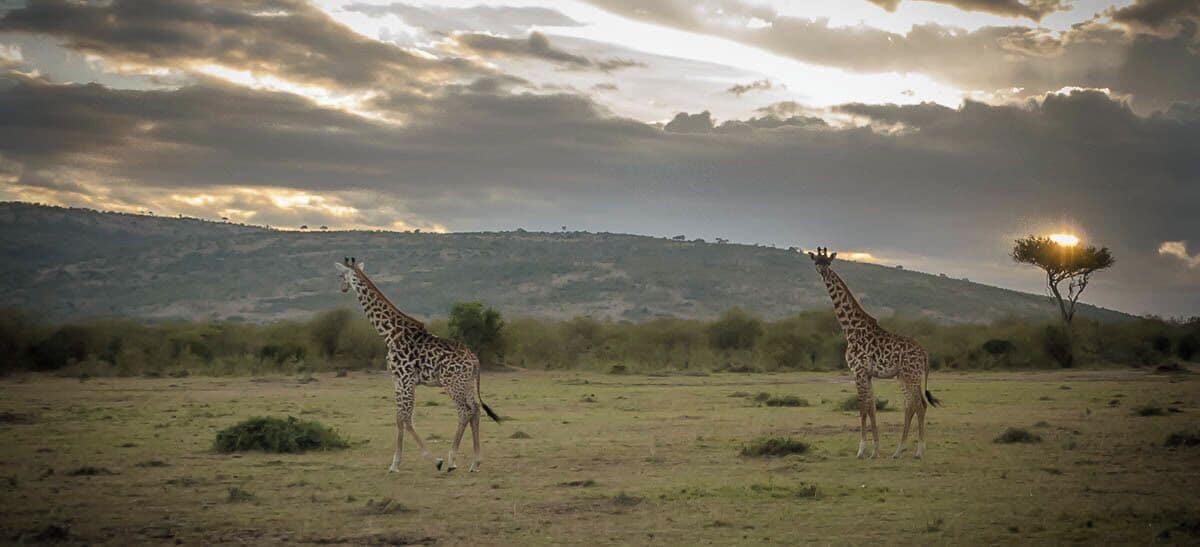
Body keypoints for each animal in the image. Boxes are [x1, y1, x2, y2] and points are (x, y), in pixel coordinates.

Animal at [334, 257, 501, 473]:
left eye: (341, 275)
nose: (343, 288)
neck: (390, 334)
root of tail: (475, 360)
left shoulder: (405, 379)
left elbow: (405, 418)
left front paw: (432, 460)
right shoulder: (397, 381)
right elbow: (400, 417)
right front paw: (396, 463)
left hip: (452, 384)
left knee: (465, 411)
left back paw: (452, 460)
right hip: (466, 384)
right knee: (475, 409)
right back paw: (475, 462)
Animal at [807, 247, 940, 459]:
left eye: (828, 262)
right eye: (816, 262)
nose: (822, 271)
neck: (851, 329)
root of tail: (925, 354)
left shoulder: (858, 371)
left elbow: (862, 408)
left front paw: (861, 450)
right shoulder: (867, 374)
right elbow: (872, 408)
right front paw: (875, 450)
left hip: (911, 375)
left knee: (919, 405)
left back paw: (919, 451)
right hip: (904, 376)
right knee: (911, 405)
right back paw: (899, 451)